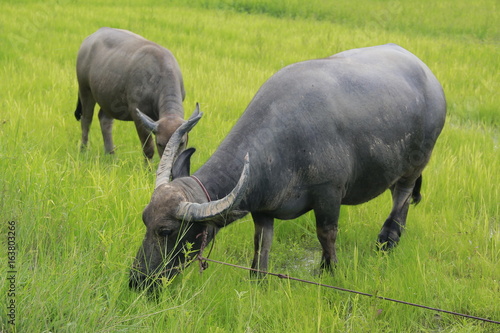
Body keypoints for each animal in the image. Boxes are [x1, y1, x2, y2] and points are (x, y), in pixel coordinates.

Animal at [73, 27, 185, 160]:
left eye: (182, 143)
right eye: (160, 143)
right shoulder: (137, 114)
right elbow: (148, 148)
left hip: (108, 97)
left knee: (104, 120)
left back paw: (111, 154)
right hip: (85, 90)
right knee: (86, 120)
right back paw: (83, 149)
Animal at [129, 44, 446, 290]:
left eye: (166, 230)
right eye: (145, 220)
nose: (137, 280)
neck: (282, 144)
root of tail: (431, 80)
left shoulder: (329, 193)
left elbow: (326, 233)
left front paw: (329, 269)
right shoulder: (263, 209)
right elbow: (262, 244)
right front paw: (258, 279)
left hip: (415, 165)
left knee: (401, 197)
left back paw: (387, 240)